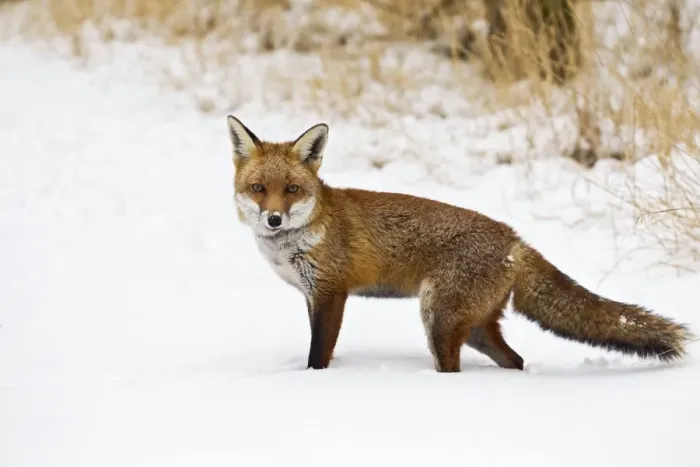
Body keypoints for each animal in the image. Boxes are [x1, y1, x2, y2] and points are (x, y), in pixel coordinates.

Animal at [227, 115, 695, 373]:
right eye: (258, 188)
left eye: (291, 189)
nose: (273, 218)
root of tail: (515, 240)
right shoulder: (312, 295)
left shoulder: (331, 292)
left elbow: (318, 352)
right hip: (475, 329)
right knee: (516, 361)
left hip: (439, 318)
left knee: (457, 368)